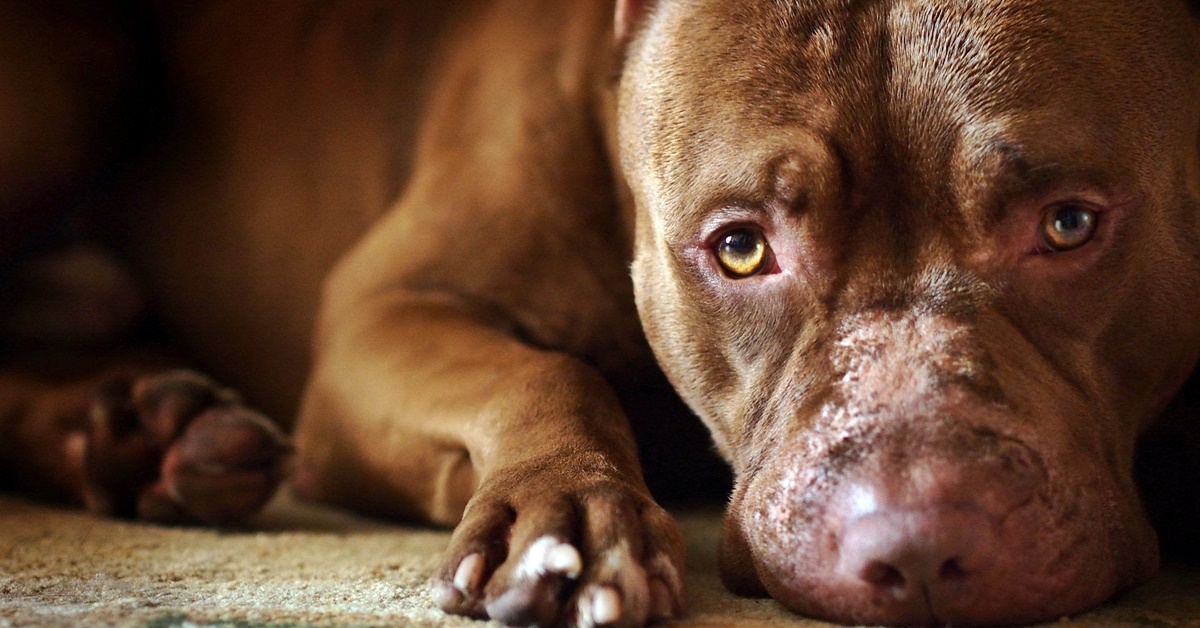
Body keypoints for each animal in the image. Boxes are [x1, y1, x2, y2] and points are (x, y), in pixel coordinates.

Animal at [2, 0, 1200, 624]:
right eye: (740, 247)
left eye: (1068, 224)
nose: (916, 544)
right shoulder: (381, 315)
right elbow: (546, 368)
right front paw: (566, 518)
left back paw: (142, 436)